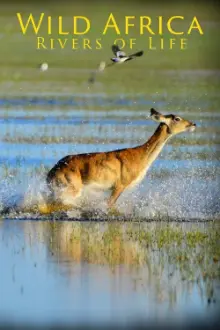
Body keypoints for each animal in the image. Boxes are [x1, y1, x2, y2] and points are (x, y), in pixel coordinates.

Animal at [46, 109, 196, 210]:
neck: (140, 155)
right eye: (177, 118)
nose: (193, 124)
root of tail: (52, 171)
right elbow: (109, 205)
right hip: (72, 188)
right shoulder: (119, 186)